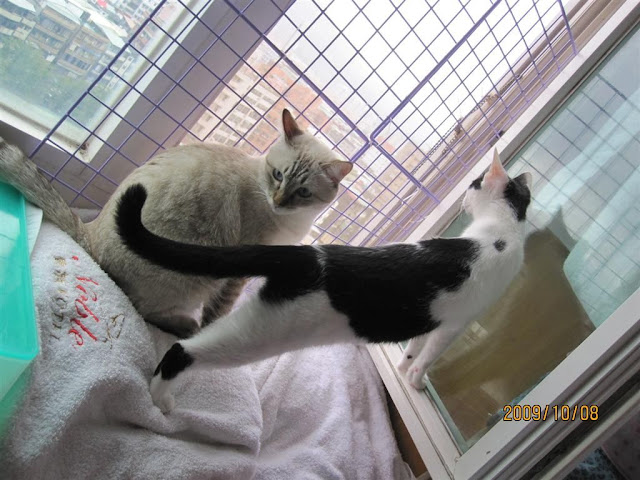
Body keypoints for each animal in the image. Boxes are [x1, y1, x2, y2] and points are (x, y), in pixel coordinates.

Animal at [0, 109, 352, 337]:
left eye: (303, 192)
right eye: (278, 175)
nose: (278, 201)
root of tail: (91, 232)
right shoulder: (239, 271)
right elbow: (219, 313)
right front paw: (209, 331)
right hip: (193, 277)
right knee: (142, 310)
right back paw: (185, 326)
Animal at [114, 148, 532, 411]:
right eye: (475, 183)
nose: (463, 197)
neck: (502, 232)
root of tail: (310, 254)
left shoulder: (435, 320)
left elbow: (415, 346)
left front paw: (403, 367)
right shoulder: (456, 324)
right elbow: (429, 355)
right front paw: (414, 379)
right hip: (260, 334)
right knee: (182, 350)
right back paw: (160, 399)